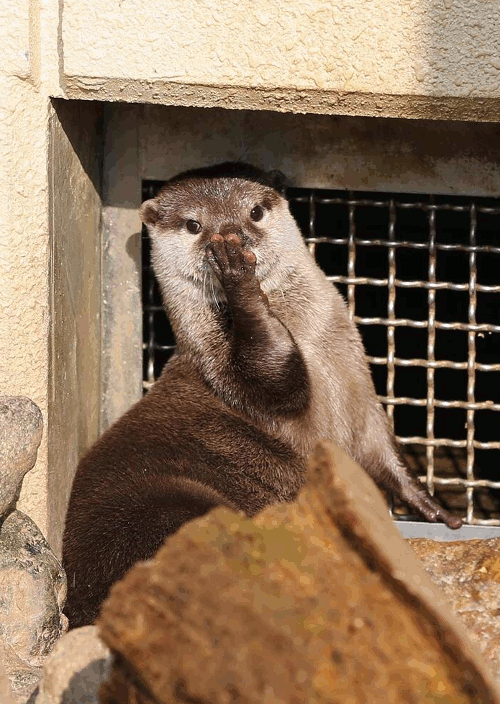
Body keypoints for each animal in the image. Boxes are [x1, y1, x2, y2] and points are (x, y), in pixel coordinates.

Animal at [62, 162, 461, 628]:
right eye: (194, 224)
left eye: (254, 211)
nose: (230, 235)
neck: (323, 358)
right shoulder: (237, 377)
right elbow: (271, 365)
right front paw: (239, 281)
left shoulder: (362, 402)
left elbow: (385, 456)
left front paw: (432, 508)